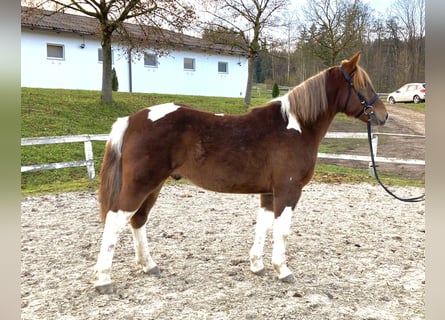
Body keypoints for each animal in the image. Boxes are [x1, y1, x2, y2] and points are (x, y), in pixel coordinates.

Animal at [94, 52, 388, 292]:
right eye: (362, 85)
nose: (383, 115)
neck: (296, 126)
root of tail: (132, 120)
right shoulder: (288, 191)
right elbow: (282, 231)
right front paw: (283, 270)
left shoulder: (268, 193)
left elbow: (263, 227)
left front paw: (257, 265)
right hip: (140, 185)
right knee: (115, 221)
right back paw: (103, 280)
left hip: (153, 186)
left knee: (138, 220)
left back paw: (149, 265)